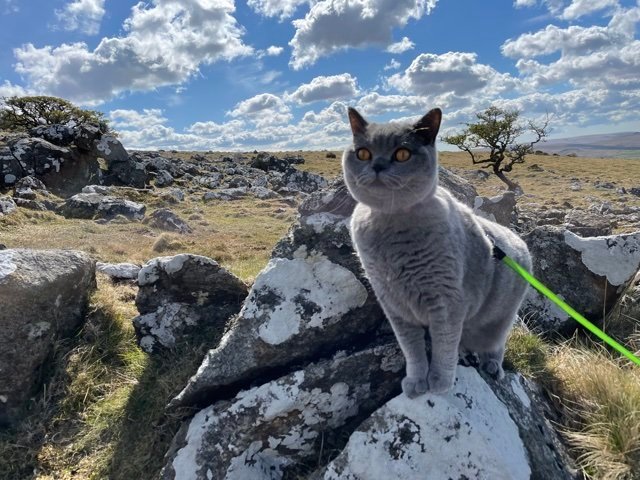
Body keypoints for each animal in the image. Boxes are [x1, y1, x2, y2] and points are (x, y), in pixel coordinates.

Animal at [342, 108, 532, 398]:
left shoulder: (446, 301)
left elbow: (443, 346)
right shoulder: (393, 304)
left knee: (495, 344)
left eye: (402, 154)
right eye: (363, 153)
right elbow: (413, 350)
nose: (377, 166)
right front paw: (416, 382)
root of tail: (518, 239)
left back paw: (492, 366)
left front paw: (440, 383)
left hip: (498, 320)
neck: (391, 226)